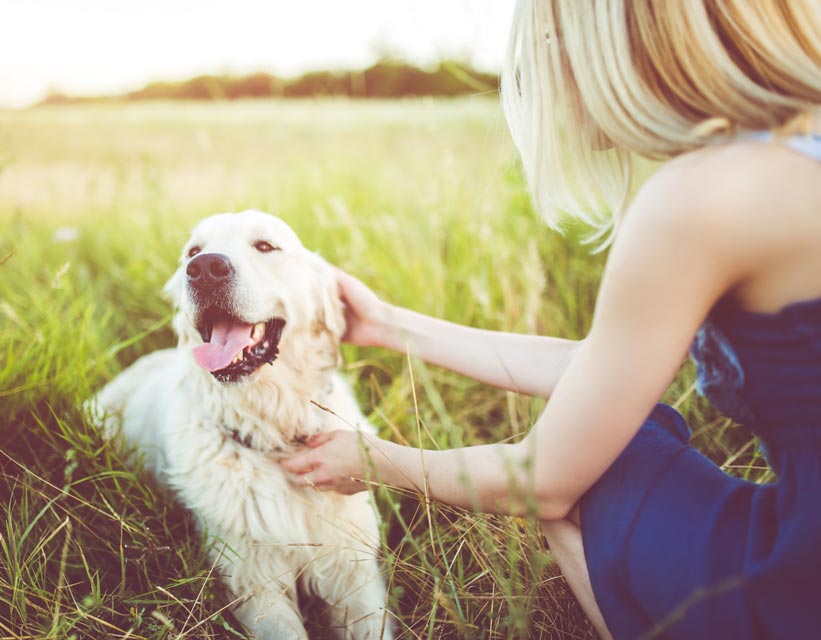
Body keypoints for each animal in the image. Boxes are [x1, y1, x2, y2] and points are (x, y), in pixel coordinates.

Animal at [92, 211, 390, 640]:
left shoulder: (353, 570)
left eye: (265, 246)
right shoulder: (253, 580)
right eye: (193, 252)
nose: (204, 270)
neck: (273, 433)